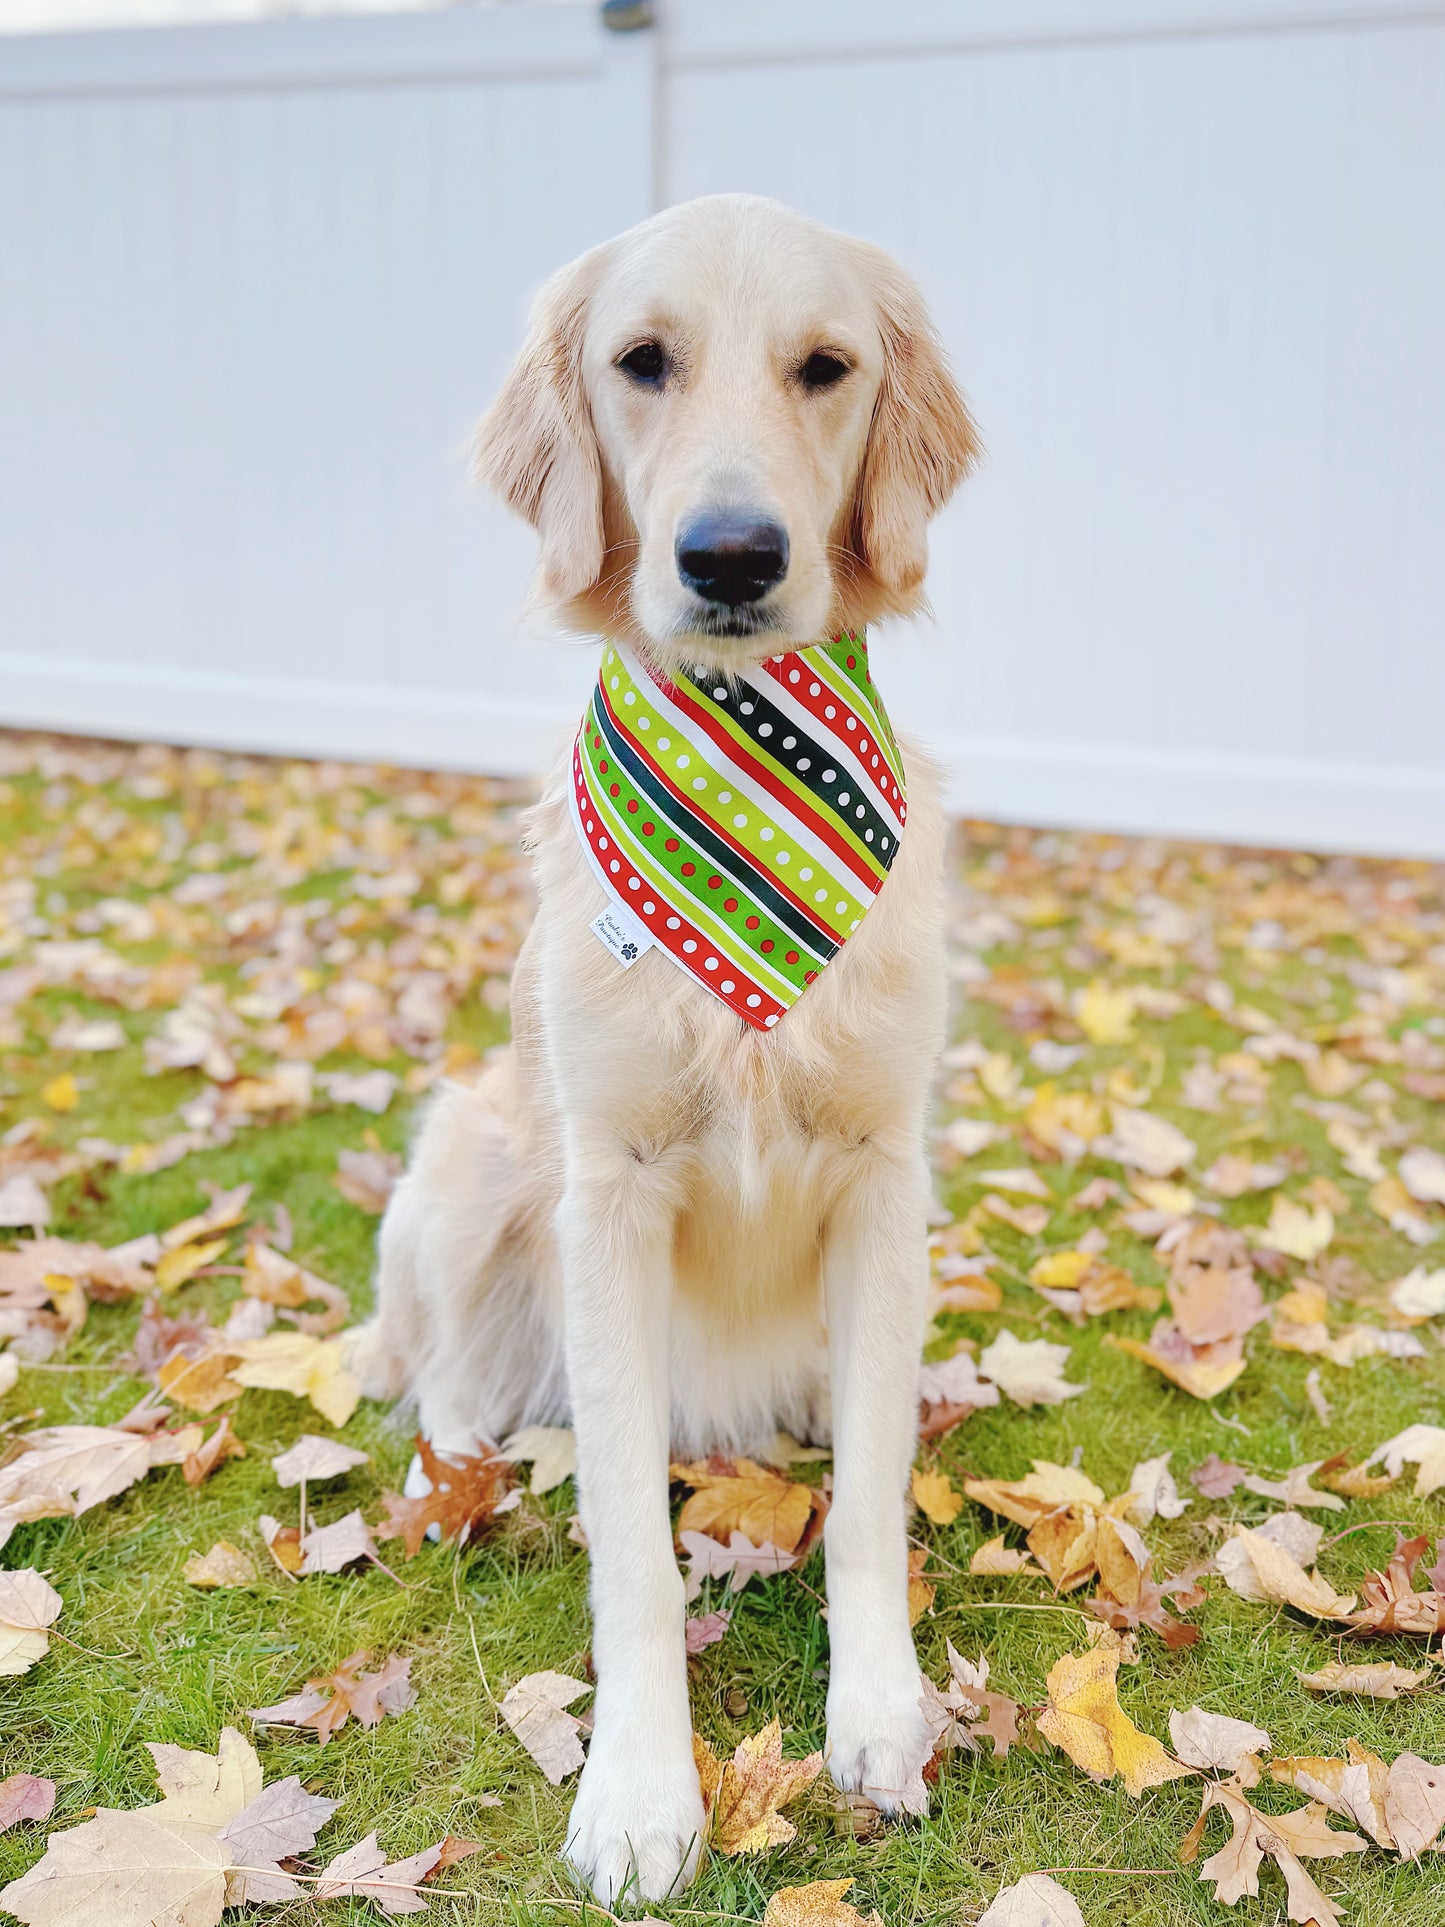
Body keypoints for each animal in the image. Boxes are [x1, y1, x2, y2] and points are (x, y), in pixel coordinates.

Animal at [356, 187, 978, 1903]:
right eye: (643, 362)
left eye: (825, 367)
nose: (732, 554)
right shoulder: (609, 1191)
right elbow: (631, 1543)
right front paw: (637, 1792)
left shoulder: (884, 1175)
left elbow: (868, 1506)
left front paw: (879, 1715)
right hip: (468, 1153)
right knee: (447, 1375)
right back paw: (459, 1472)